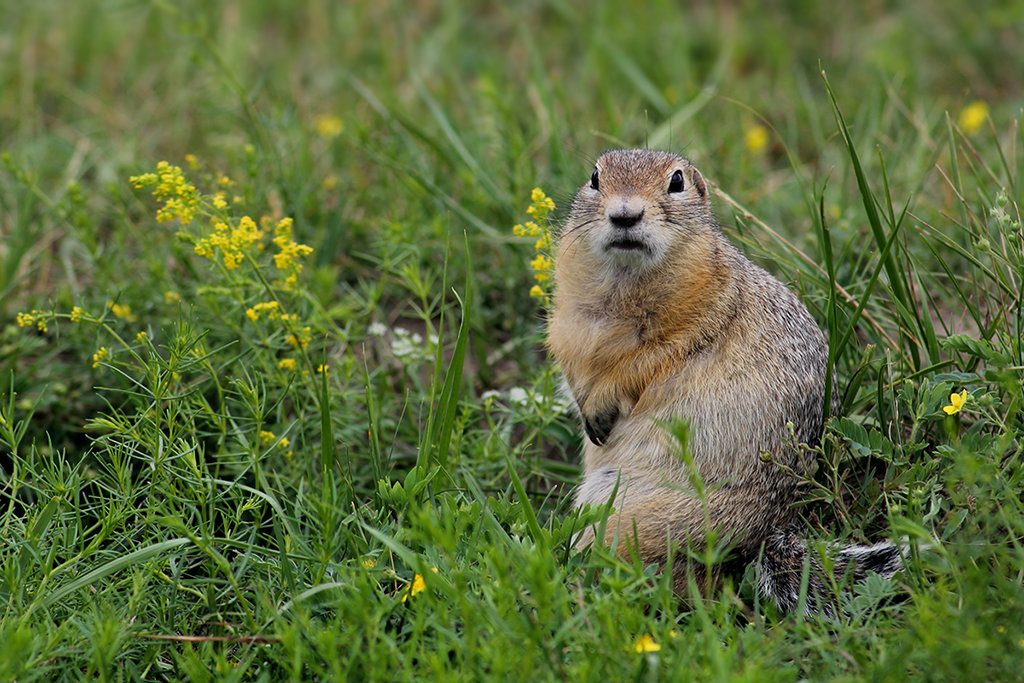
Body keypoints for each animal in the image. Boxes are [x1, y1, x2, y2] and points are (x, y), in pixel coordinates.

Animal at [552, 148, 897, 614]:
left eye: (676, 182)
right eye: (594, 178)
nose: (624, 214)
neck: (623, 282)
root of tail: (761, 537)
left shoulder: (692, 323)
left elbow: (640, 366)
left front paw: (603, 404)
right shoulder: (568, 322)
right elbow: (572, 364)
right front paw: (587, 407)